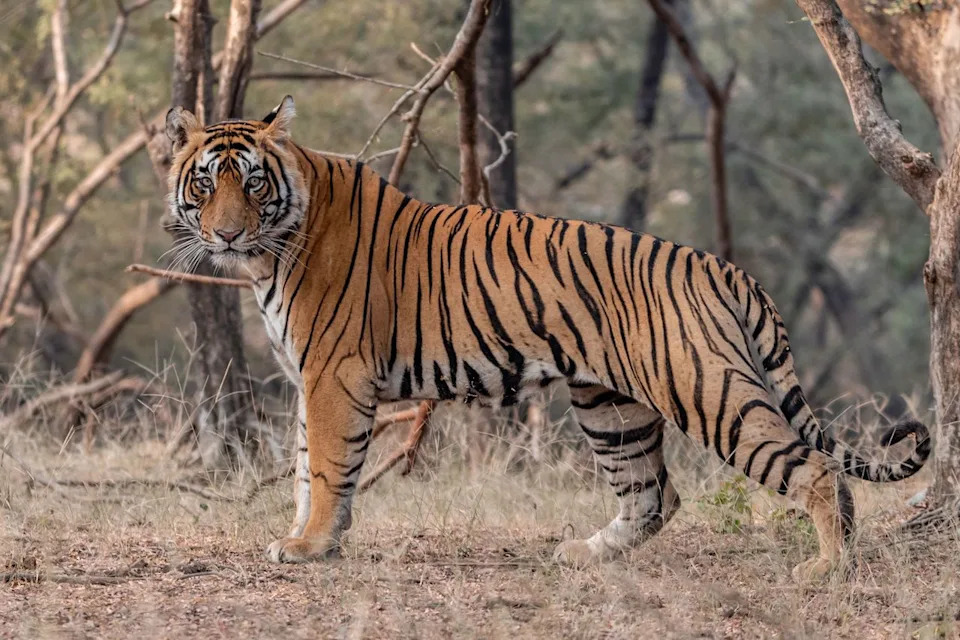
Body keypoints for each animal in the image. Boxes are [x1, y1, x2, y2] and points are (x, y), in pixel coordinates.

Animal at [164, 95, 930, 581]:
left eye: (252, 184)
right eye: (205, 185)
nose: (225, 235)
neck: (273, 248)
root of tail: (719, 264)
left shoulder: (333, 373)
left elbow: (324, 467)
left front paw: (312, 544)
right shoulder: (311, 378)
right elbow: (302, 467)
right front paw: (307, 539)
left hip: (708, 392)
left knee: (815, 469)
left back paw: (828, 566)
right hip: (611, 406)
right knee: (654, 496)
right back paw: (583, 555)